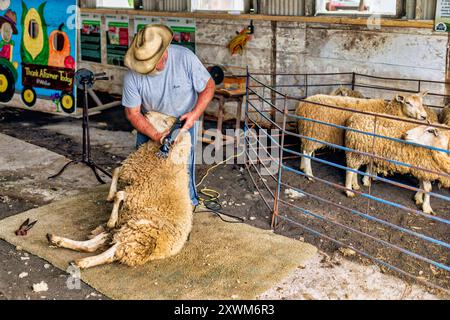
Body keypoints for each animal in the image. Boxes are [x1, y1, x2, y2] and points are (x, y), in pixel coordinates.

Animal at [47, 112, 193, 268]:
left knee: (110, 253)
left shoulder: (138, 194)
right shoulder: (133, 178)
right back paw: (56, 240)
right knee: (92, 245)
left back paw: (82, 261)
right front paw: (110, 196)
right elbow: (116, 171)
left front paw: (112, 217)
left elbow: (120, 194)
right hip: (124, 229)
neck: (169, 158)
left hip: (137, 233)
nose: (147, 113)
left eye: (166, 122)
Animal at [294, 91, 430, 181]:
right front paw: (368, 178)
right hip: (313, 132)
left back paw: (302, 167)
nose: (424, 116)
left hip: (306, 132)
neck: (389, 111)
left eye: (422, 102)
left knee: (303, 148)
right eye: (408, 103)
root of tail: (301, 105)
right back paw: (309, 175)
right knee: (306, 152)